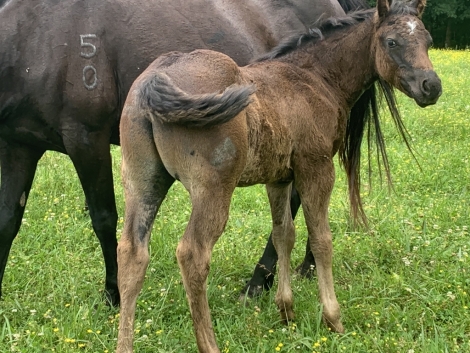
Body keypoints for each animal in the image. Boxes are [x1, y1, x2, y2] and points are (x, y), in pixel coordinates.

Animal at [0, 0, 368, 302]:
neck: (37, 37)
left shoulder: (86, 140)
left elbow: (104, 219)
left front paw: (113, 293)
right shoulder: (19, 146)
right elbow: (7, 220)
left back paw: (258, 283)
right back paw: (305, 267)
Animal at [117, 0, 440, 350]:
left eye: (428, 40)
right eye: (391, 42)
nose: (432, 86)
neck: (316, 77)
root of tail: (155, 77)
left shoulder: (279, 177)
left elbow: (283, 234)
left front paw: (286, 311)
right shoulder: (317, 167)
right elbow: (321, 239)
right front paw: (333, 318)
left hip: (142, 182)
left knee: (132, 253)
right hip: (213, 189)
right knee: (193, 254)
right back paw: (210, 343)